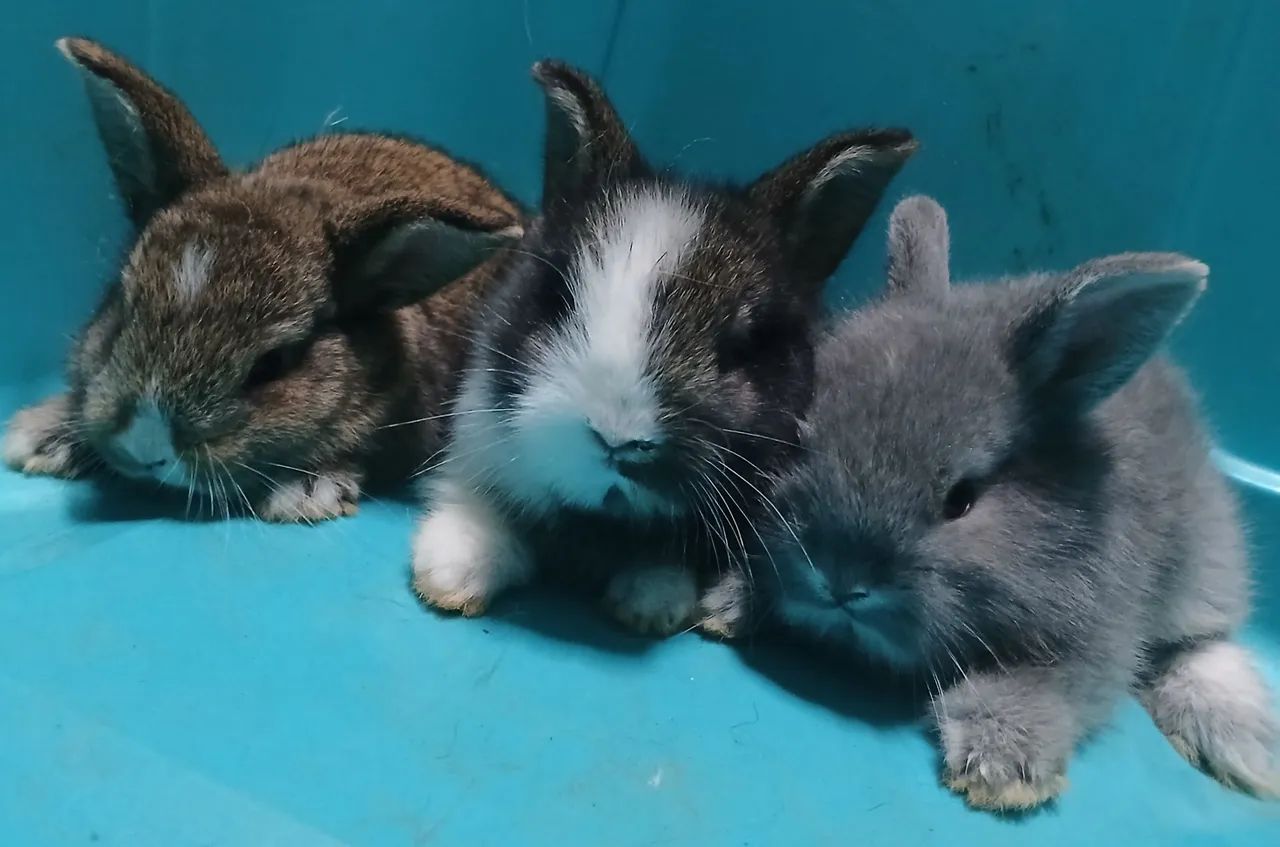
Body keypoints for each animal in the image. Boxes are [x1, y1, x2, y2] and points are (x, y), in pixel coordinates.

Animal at [410, 60, 916, 634]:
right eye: (556, 296)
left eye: (742, 342)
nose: (616, 438)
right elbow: (476, 504)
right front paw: (451, 573)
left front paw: (652, 605)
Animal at [725, 195, 1279, 809]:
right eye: (799, 440)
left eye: (962, 499)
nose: (840, 581)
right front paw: (726, 600)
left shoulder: (1094, 640)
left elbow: (1032, 689)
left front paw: (999, 770)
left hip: (1203, 565)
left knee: (1202, 646)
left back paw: (1244, 747)